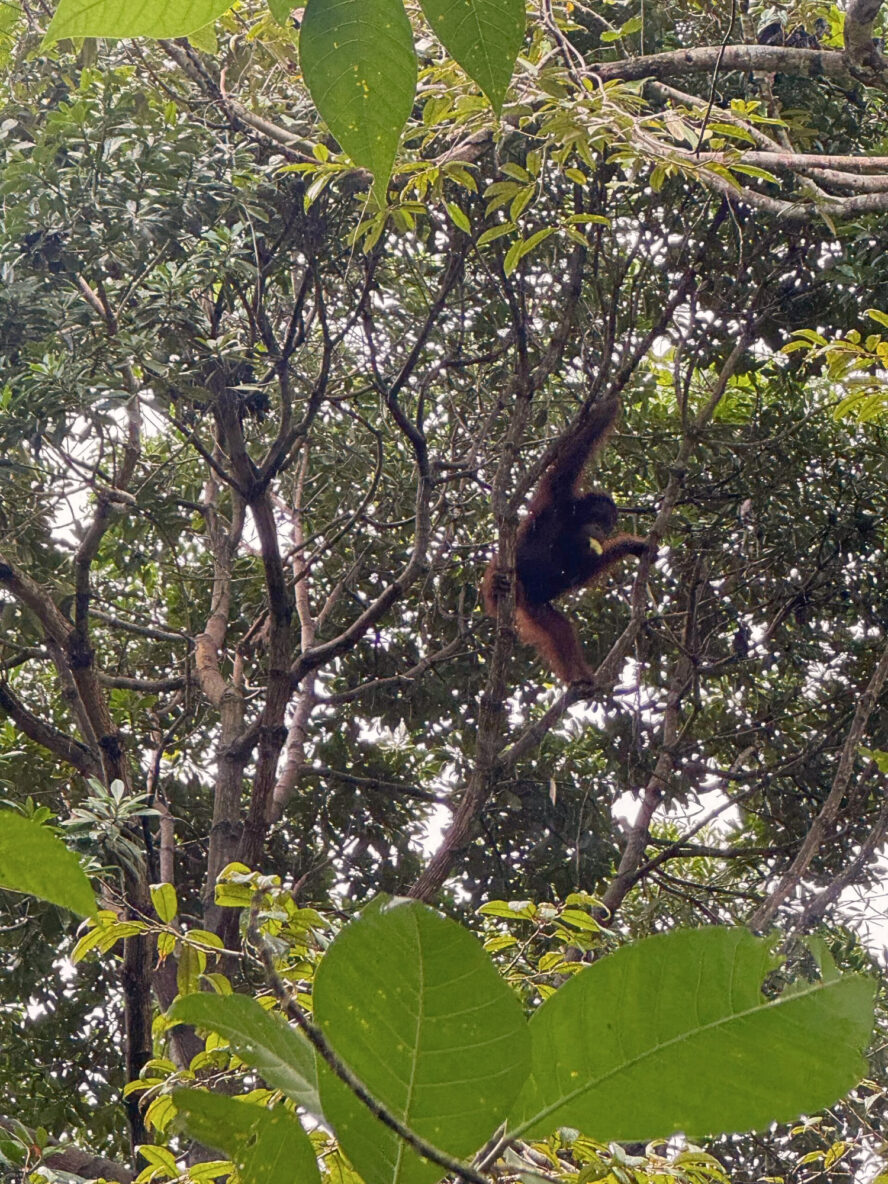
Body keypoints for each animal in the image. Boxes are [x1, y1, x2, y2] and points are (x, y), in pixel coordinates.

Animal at [483, 396, 652, 684]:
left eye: (607, 526)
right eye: (597, 517)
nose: (600, 530)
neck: (570, 525)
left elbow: (582, 570)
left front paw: (631, 545)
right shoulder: (558, 495)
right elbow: (574, 455)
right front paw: (607, 406)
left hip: (536, 605)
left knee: (560, 630)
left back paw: (581, 680)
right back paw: (498, 585)